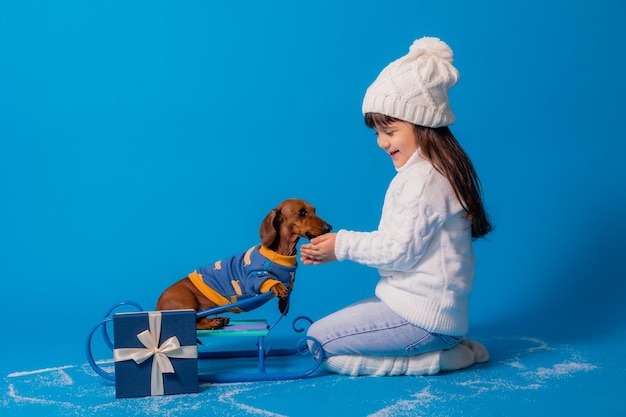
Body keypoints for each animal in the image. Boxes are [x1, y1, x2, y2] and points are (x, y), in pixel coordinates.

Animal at [156, 198, 332, 328]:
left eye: (314, 210)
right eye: (302, 212)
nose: (329, 227)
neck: (282, 253)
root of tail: (158, 308)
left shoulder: (290, 279)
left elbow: (288, 291)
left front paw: (284, 304)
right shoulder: (251, 278)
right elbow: (268, 280)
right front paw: (278, 287)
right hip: (187, 302)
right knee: (194, 323)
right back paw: (213, 322)